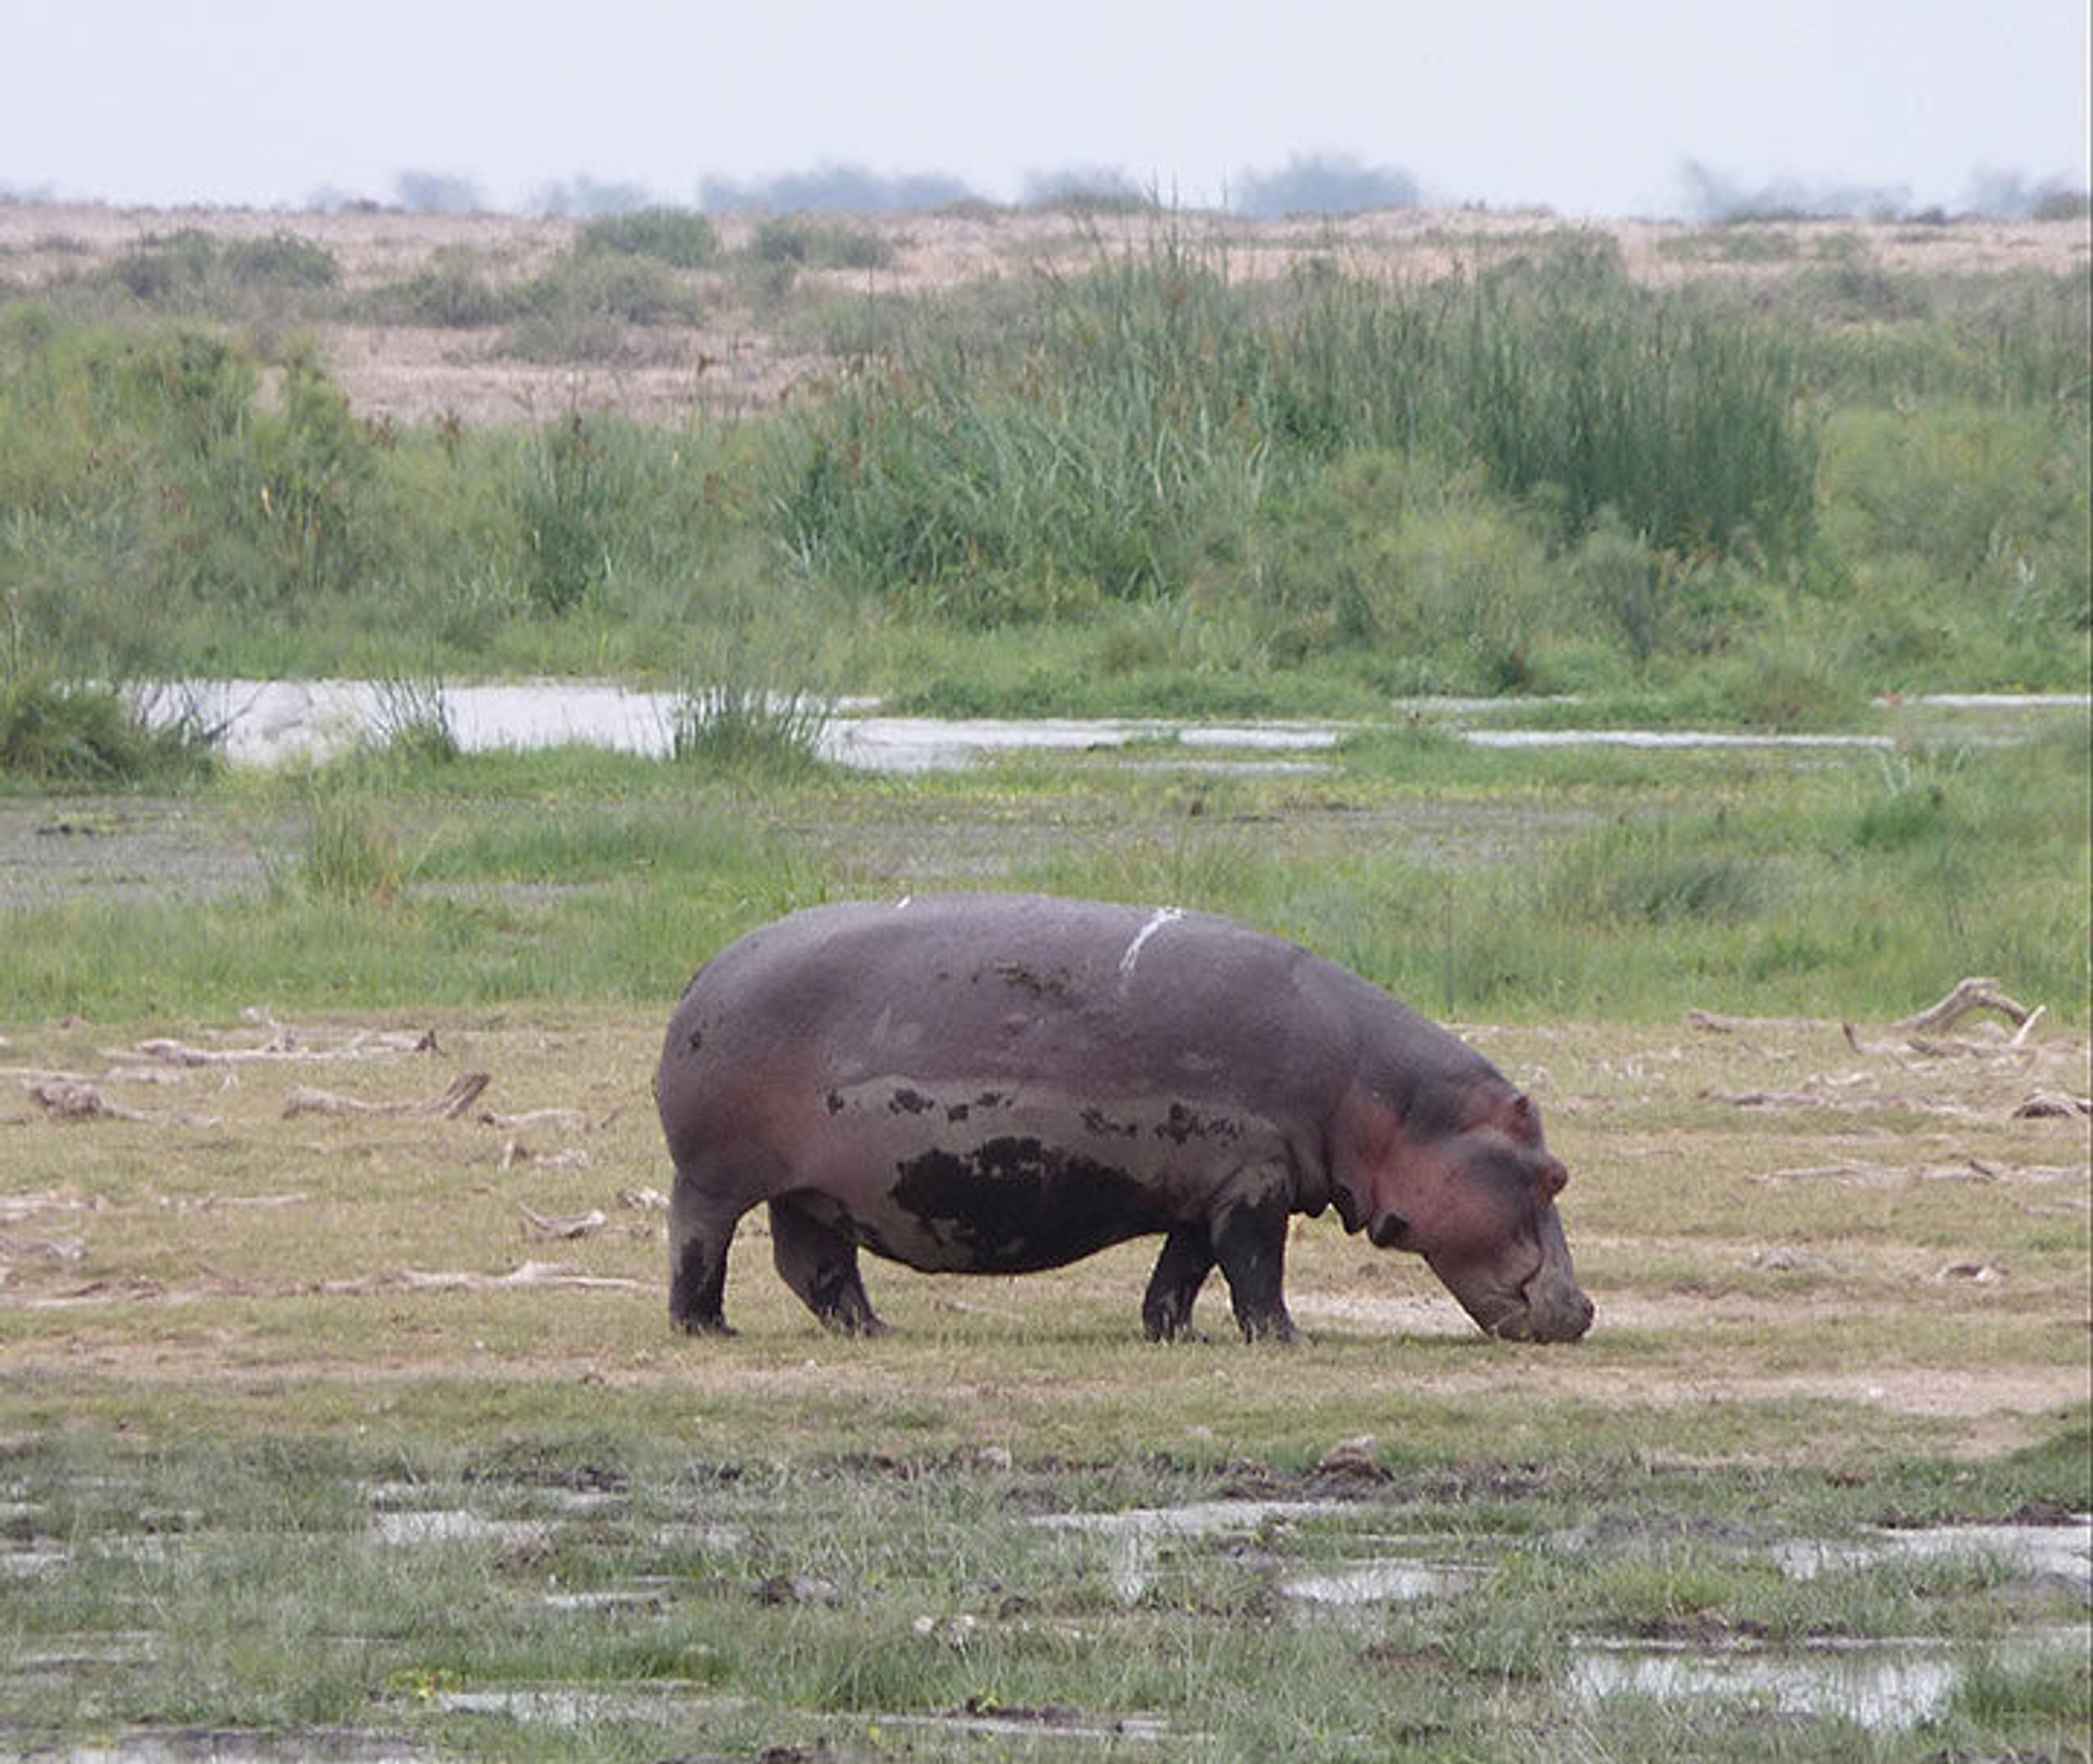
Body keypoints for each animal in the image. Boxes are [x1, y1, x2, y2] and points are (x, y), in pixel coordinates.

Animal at [661, 904, 1590, 1347]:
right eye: (1554, 1174)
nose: (1584, 1309)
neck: (1387, 1100)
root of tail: (708, 969)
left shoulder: (1213, 1189)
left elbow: (1182, 1271)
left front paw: (1177, 1333)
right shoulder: (1257, 1182)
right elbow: (1257, 1270)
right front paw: (1291, 1339)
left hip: (814, 1190)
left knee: (816, 1267)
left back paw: (878, 1328)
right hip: (715, 1178)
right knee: (701, 1247)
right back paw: (708, 1326)